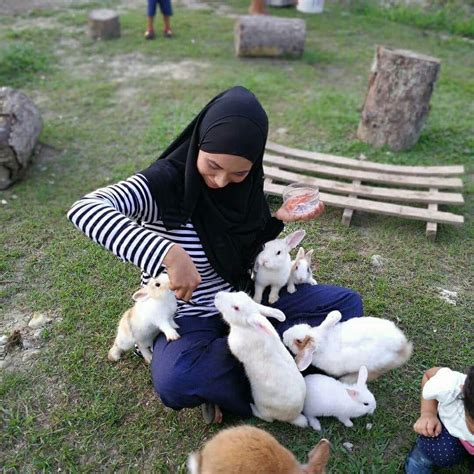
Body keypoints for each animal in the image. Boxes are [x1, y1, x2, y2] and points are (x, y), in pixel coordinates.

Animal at [214, 290, 308, 428]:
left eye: (236, 308)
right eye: (240, 292)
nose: (217, 296)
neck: (246, 327)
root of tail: (293, 416)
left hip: (263, 405)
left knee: (267, 418)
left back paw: (252, 407)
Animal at [284, 310, 412, 384]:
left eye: (298, 341)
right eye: (307, 326)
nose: (284, 335)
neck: (323, 342)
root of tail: (402, 345)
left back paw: (345, 380)